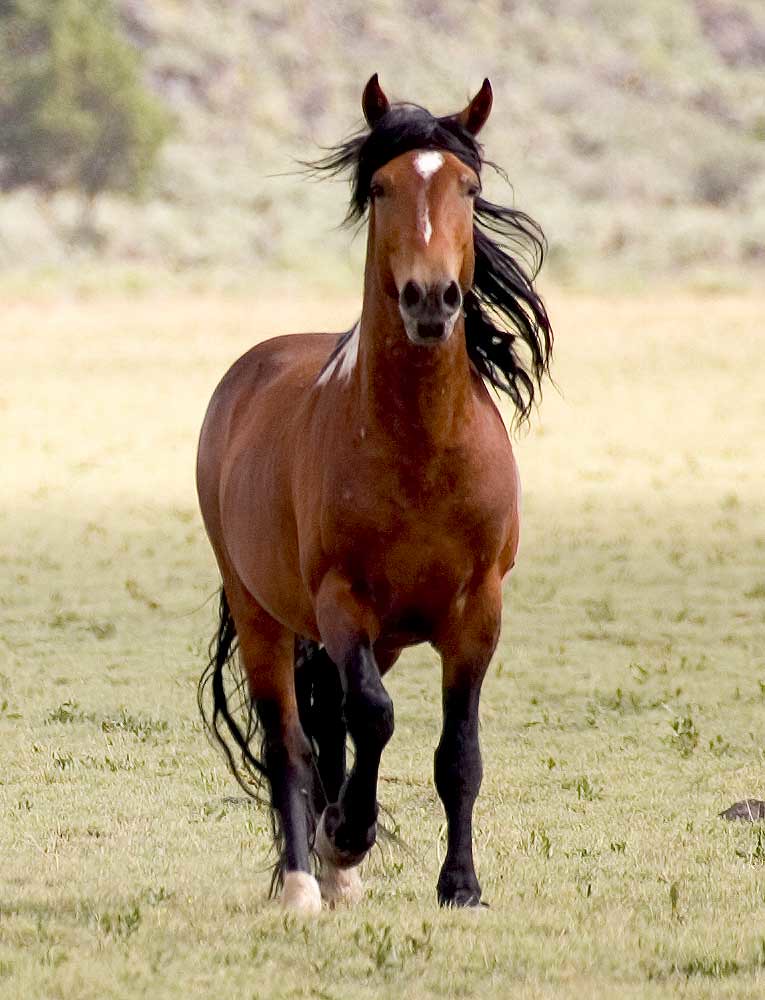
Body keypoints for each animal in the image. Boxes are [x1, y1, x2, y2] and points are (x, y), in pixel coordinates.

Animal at [196, 74, 552, 914]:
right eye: (382, 187)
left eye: (467, 187)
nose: (431, 299)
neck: (419, 451)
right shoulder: (342, 602)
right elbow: (373, 718)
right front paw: (347, 834)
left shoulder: (478, 612)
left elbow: (457, 752)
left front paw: (460, 884)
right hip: (264, 615)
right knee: (292, 742)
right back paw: (307, 877)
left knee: (329, 730)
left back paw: (339, 876)